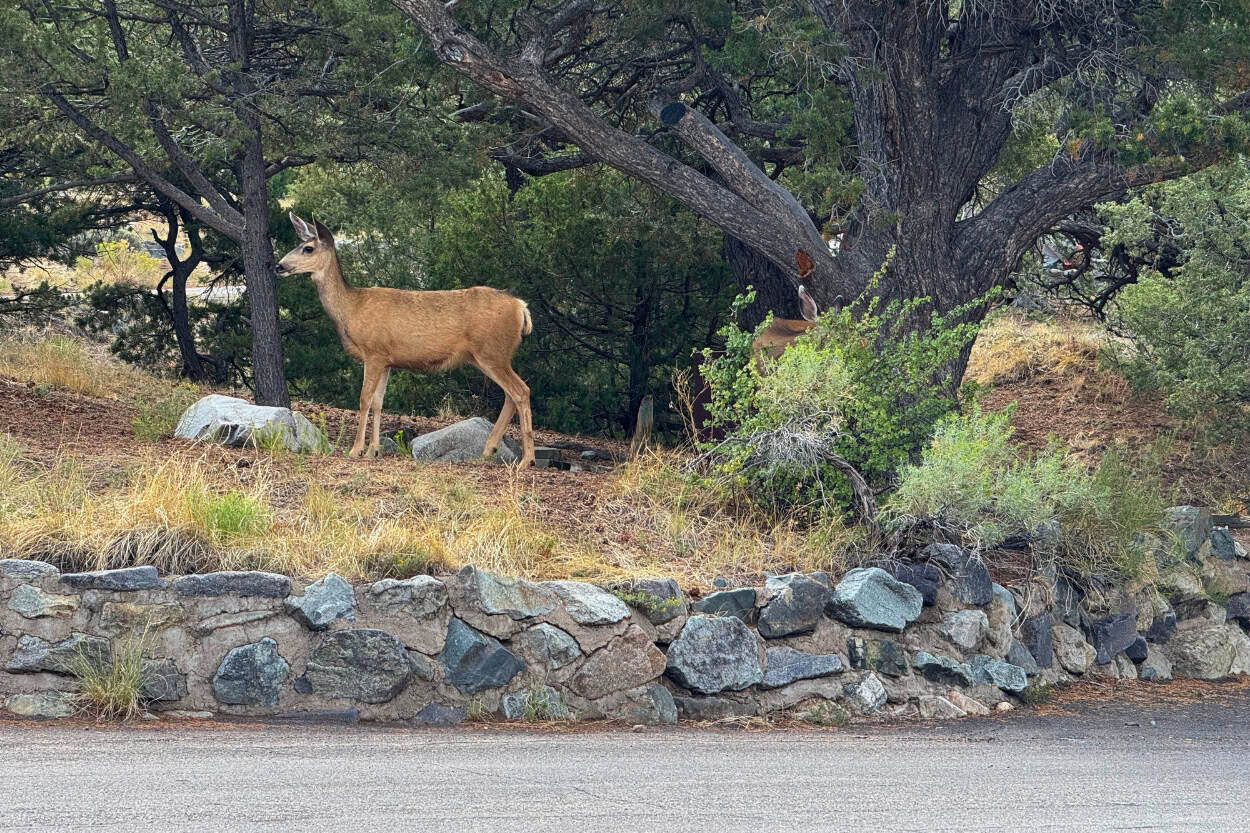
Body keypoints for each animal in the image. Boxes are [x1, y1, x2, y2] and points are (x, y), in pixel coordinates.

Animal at [276, 213, 536, 467]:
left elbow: (364, 399)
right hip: (490, 355)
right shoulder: (387, 360)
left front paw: (356, 450)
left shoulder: (374, 352)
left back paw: (526, 460)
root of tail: (521, 307)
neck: (351, 309)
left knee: (521, 390)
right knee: (511, 395)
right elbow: (378, 402)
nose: (279, 266)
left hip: (492, 351)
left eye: (308, 248)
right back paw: (489, 450)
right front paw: (373, 450)